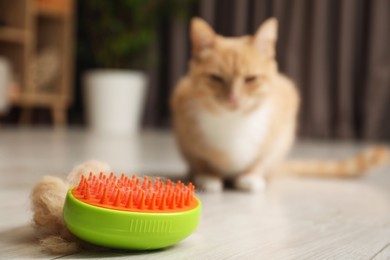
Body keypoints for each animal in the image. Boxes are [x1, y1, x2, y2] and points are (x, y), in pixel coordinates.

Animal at [171, 17, 390, 192]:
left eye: (251, 79)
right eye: (215, 78)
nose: (233, 99)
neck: (233, 122)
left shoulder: (280, 133)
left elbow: (261, 159)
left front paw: (250, 176)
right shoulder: (185, 128)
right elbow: (201, 160)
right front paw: (208, 176)